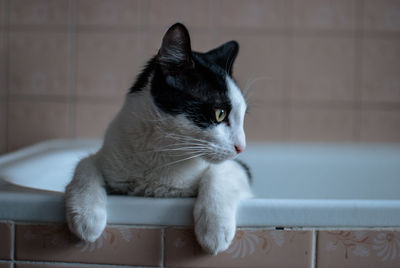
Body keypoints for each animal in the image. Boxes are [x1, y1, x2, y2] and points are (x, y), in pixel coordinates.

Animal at [65, 23, 253, 255]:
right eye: (220, 113)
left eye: (243, 116)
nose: (242, 147)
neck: (162, 152)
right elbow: (85, 163)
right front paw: (86, 217)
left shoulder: (241, 169)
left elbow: (223, 171)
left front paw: (214, 229)